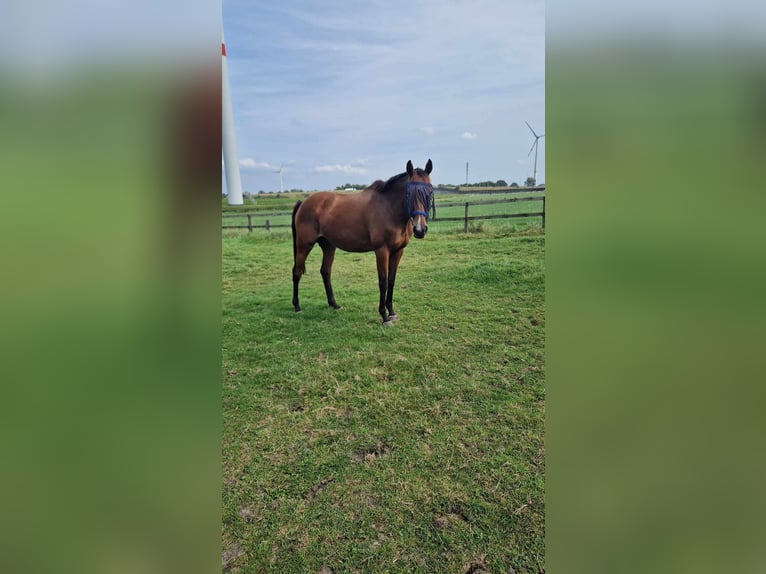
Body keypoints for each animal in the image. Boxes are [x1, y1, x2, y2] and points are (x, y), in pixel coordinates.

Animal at [294, 160, 436, 326]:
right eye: (409, 193)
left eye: (430, 192)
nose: (420, 229)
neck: (389, 208)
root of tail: (304, 203)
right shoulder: (382, 251)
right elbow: (383, 282)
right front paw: (384, 316)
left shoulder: (398, 251)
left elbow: (391, 280)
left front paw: (392, 312)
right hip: (304, 245)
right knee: (297, 272)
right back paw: (297, 307)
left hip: (329, 246)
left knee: (325, 272)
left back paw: (334, 304)